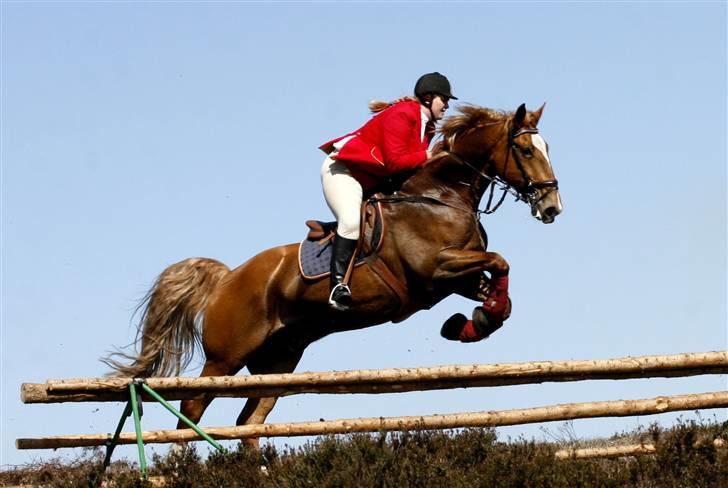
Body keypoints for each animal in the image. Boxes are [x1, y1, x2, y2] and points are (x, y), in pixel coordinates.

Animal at [105, 102, 564, 442]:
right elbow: (500, 261)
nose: (552, 207)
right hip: (225, 357)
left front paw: (471, 323)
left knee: (250, 420)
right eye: (526, 151)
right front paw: (472, 322)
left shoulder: (458, 277)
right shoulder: (435, 270)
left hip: (279, 360)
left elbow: (499, 287)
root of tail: (227, 278)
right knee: (195, 405)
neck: (442, 197)